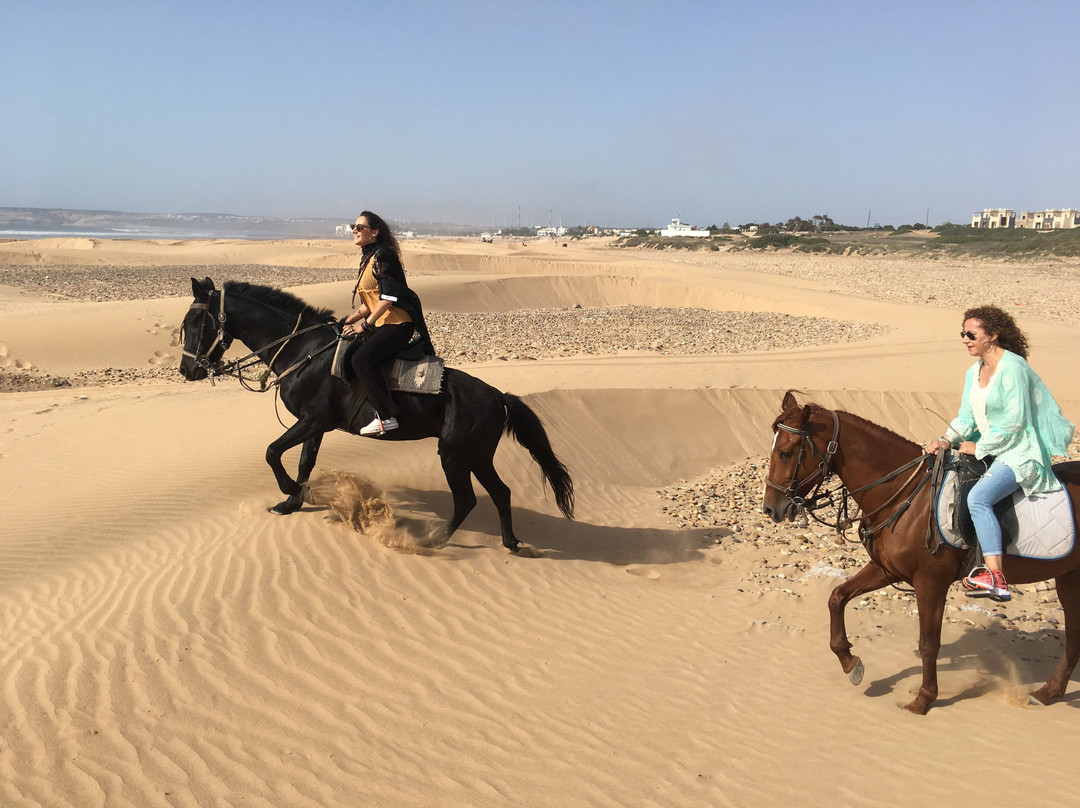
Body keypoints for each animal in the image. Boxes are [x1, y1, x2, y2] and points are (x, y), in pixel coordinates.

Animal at [178, 277, 574, 553]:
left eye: (195, 323)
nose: (186, 371)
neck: (303, 350)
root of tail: (497, 397)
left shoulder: (313, 420)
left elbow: (272, 451)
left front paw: (292, 491)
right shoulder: (315, 425)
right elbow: (304, 461)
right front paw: (291, 503)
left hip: (454, 456)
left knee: (467, 500)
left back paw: (431, 541)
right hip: (476, 455)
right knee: (501, 493)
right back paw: (510, 543)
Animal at [761, 390, 1080, 714]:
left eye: (786, 452)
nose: (770, 508)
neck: (905, 495)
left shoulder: (930, 583)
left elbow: (928, 643)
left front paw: (924, 698)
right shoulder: (886, 570)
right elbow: (837, 597)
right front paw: (851, 663)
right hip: (1069, 578)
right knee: (1073, 637)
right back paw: (1049, 692)